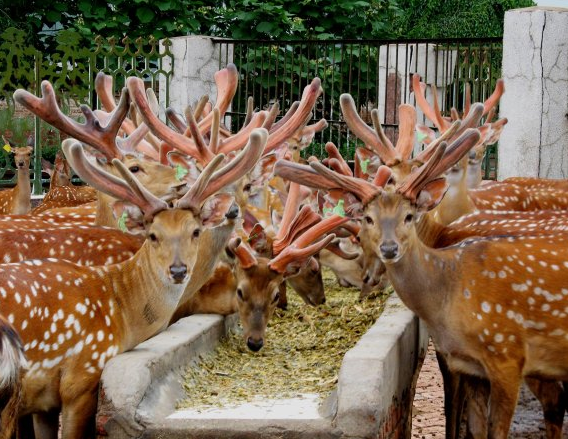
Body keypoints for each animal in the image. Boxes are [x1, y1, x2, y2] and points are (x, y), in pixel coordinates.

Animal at [278, 129, 568, 439]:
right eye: (367, 220)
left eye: (408, 214)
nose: (371, 276)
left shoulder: (500, 354)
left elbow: (455, 402)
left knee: (553, 400)